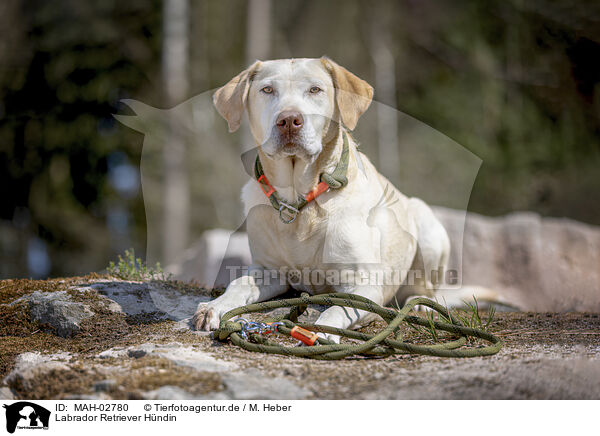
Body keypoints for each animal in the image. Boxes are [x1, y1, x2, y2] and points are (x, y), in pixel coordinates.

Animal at [195, 56, 458, 340]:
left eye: (315, 90)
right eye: (267, 90)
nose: (289, 120)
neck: (300, 200)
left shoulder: (364, 284)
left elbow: (337, 308)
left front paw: (322, 332)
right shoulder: (267, 270)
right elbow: (238, 283)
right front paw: (214, 306)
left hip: (428, 229)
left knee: (423, 288)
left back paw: (421, 304)